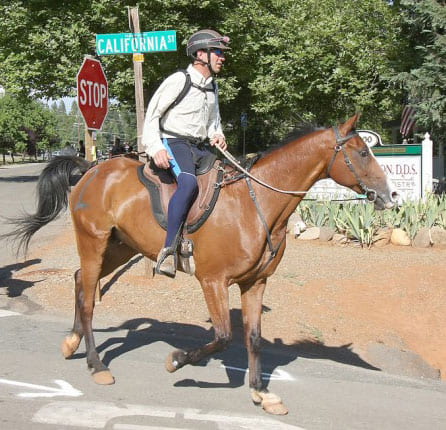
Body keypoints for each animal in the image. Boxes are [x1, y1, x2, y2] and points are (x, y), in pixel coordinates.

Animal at [5, 113, 396, 414]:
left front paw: (261, 392)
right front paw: (177, 360)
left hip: (120, 248)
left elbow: (254, 338)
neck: (255, 203)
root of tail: (92, 169)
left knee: (77, 281)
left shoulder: (255, 283)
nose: (390, 195)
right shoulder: (213, 281)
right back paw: (96, 364)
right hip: (93, 243)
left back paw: (71, 343)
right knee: (88, 299)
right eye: (362, 152)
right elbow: (223, 336)